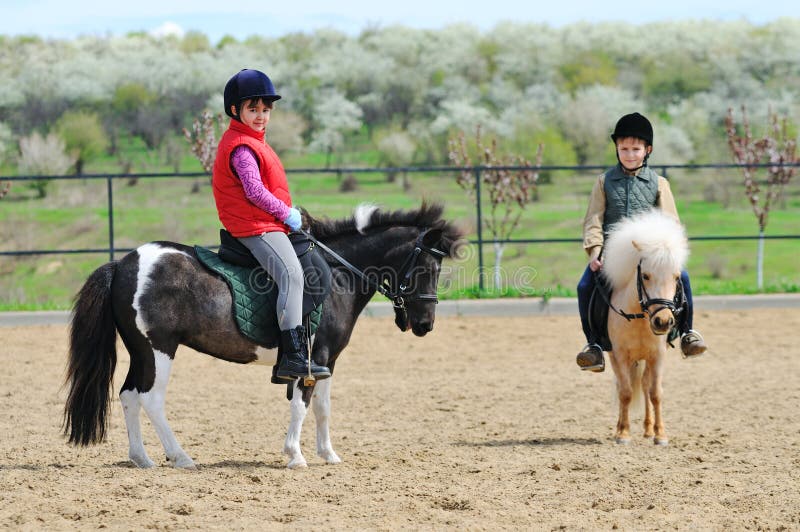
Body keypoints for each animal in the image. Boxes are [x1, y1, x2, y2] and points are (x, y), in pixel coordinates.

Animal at [64, 203, 462, 470]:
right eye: (428, 268)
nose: (425, 324)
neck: (338, 276)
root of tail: (123, 264)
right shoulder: (311, 359)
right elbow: (301, 406)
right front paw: (295, 455)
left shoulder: (327, 361)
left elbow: (323, 408)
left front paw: (329, 454)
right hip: (159, 349)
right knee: (151, 399)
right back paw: (180, 456)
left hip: (141, 351)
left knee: (129, 396)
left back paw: (142, 458)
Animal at [600, 210, 688, 446]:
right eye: (646, 276)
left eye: (676, 277)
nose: (663, 321)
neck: (639, 318)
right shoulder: (620, 355)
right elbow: (626, 393)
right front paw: (623, 434)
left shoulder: (658, 355)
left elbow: (655, 393)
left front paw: (660, 435)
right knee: (623, 387)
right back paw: (620, 428)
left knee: (646, 386)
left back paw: (648, 429)